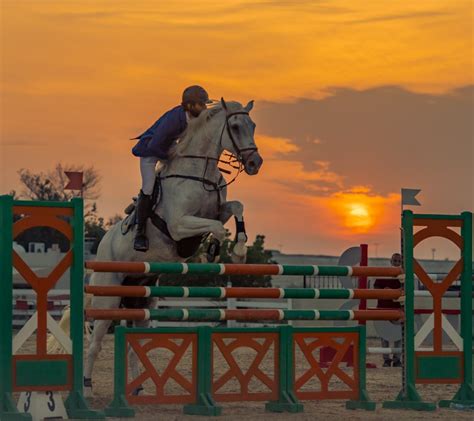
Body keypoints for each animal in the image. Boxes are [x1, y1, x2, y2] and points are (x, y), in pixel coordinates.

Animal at [84, 98, 262, 394]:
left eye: (254, 125)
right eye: (236, 126)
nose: (254, 162)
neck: (201, 173)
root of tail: (100, 247)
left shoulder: (219, 209)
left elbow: (236, 207)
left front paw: (238, 251)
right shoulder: (180, 225)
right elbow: (215, 228)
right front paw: (215, 253)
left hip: (142, 299)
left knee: (134, 343)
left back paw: (137, 388)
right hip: (107, 296)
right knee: (95, 343)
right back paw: (85, 388)